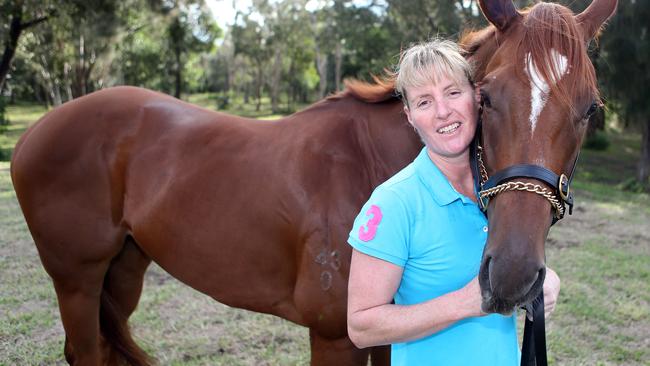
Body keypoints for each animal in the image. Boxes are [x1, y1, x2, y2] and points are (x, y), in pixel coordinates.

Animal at [12, 0, 616, 364]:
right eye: (485, 97)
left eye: (589, 109)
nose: (513, 275)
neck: (371, 167)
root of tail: (34, 133)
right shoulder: (333, 336)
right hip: (76, 280)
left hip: (124, 270)